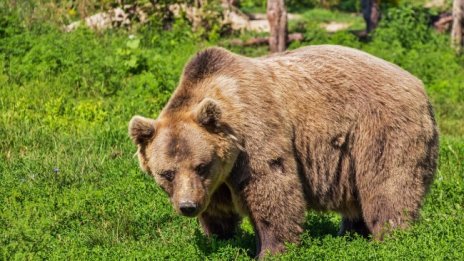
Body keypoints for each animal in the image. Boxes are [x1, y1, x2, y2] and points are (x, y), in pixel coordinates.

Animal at [128, 44, 438, 256]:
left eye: (201, 166)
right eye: (167, 173)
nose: (187, 206)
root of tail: (419, 85)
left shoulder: (255, 136)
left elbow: (272, 190)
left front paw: (271, 249)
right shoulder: (215, 182)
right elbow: (217, 211)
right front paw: (219, 238)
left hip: (380, 130)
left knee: (388, 186)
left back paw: (391, 237)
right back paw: (351, 233)